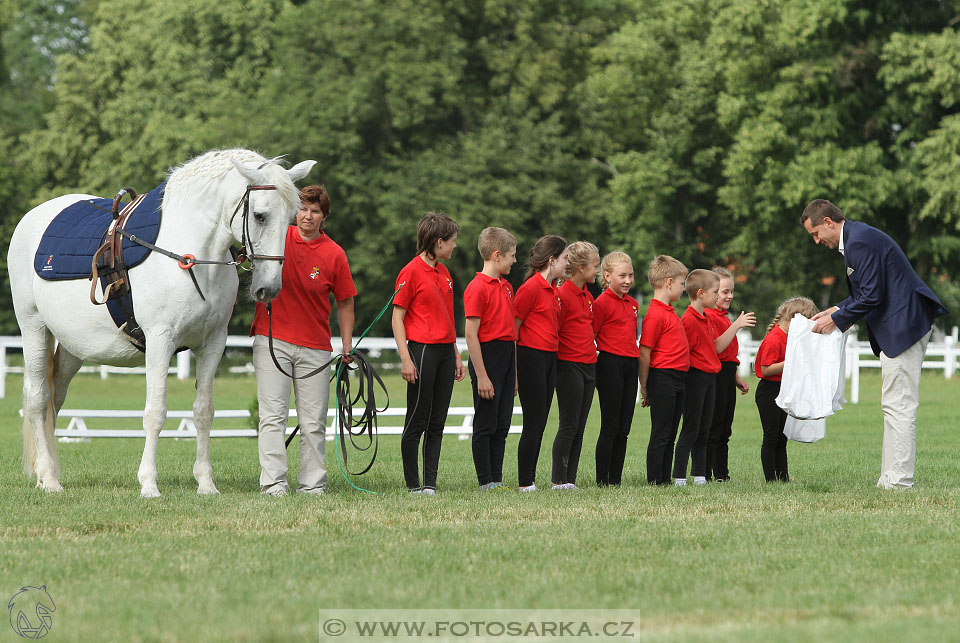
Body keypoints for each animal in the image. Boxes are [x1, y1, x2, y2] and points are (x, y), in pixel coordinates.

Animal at [8, 150, 316, 498]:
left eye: (292, 217)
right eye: (261, 216)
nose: (270, 288)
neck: (189, 254)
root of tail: (32, 218)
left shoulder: (213, 344)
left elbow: (204, 411)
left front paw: (206, 484)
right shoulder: (160, 341)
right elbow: (155, 413)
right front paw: (149, 484)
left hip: (73, 347)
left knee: (55, 400)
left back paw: (45, 474)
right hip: (34, 328)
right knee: (38, 400)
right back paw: (49, 478)